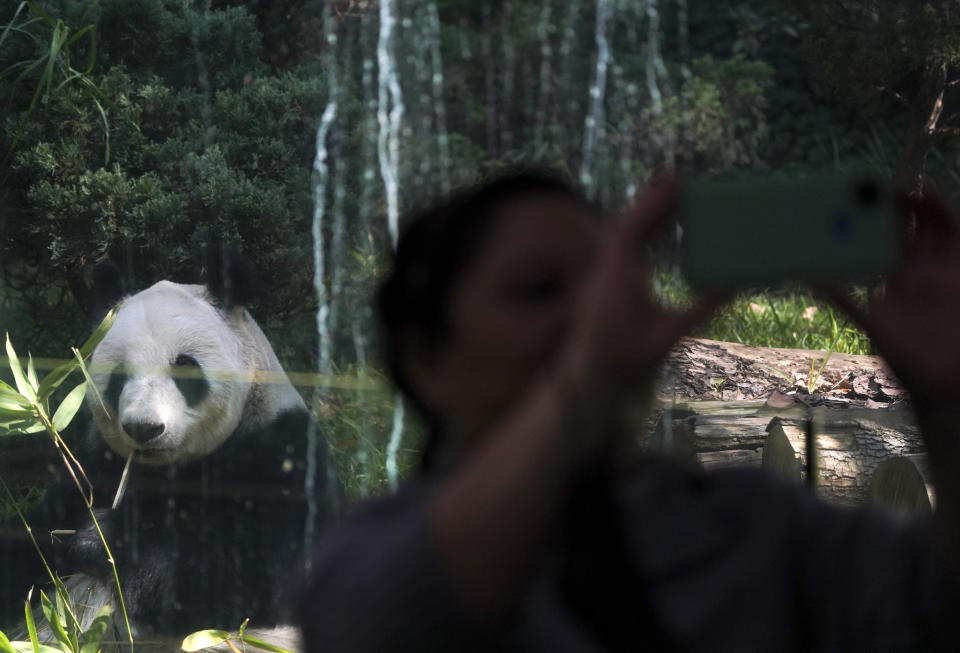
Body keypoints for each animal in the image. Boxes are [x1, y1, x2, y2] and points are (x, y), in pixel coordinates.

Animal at [1, 255, 340, 652]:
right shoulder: (94, 466)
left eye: (185, 366)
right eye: (120, 373)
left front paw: (103, 538)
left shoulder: (282, 458)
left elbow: (255, 574)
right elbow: (33, 543)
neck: (171, 467)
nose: (144, 428)